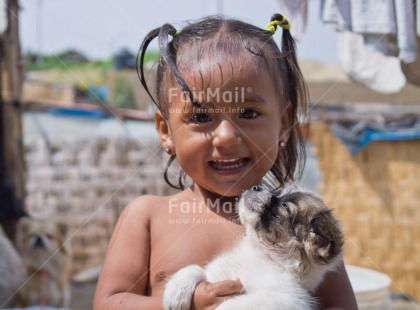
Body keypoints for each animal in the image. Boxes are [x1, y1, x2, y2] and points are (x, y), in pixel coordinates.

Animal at [162, 185, 342, 308]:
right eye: (277, 193)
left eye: (284, 207)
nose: (256, 186)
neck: (261, 254)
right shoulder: (216, 276)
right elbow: (195, 269)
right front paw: (175, 292)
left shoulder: (285, 299)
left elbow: (234, 305)